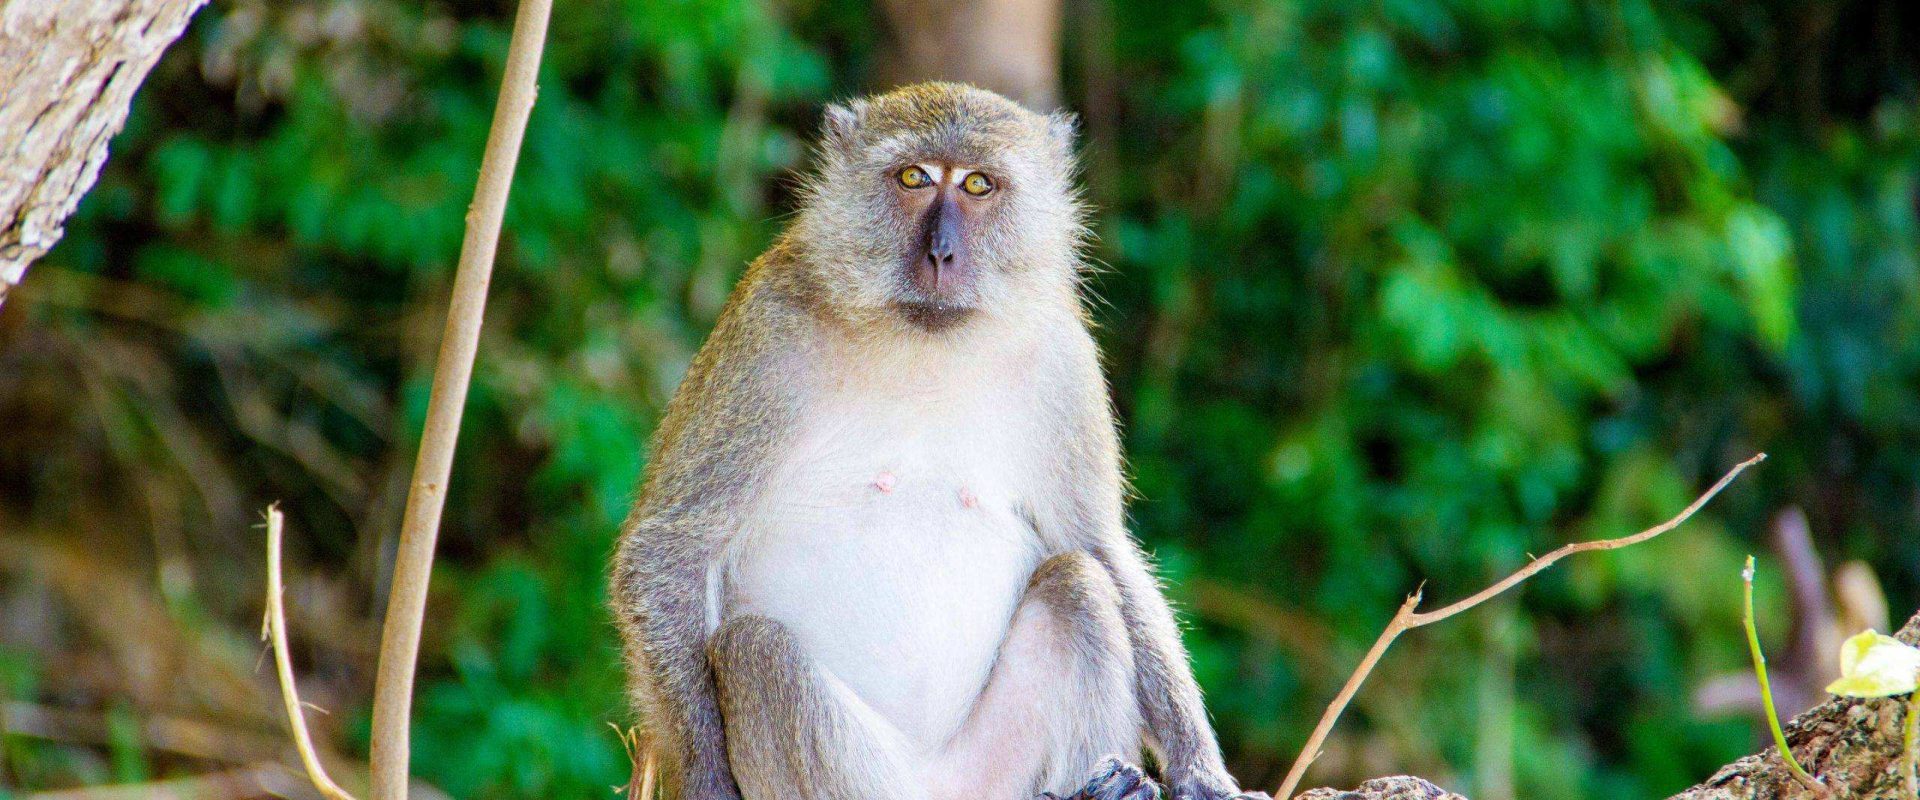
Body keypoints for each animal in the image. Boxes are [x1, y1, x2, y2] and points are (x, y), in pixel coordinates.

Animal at [611, 82, 1269, 800]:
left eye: (978, 184)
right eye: (914, 178)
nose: (940, 252)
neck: (925, 340)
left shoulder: (1062, 359)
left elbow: (1097, 547)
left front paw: (1201, 770)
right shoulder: (765, 335)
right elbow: (670, 549)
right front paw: (706, 778)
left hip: (994, 775)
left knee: (1078, 587)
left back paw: (1099, 783)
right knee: (755, 651)